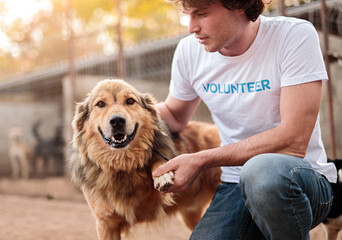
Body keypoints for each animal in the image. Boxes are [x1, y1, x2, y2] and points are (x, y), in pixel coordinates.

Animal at [69, 79, 222, 239]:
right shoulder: (106, 223)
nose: (117, 121)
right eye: (100, 104)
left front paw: (162, 175)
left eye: (130, 101)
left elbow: (157, 160)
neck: (123, 165)